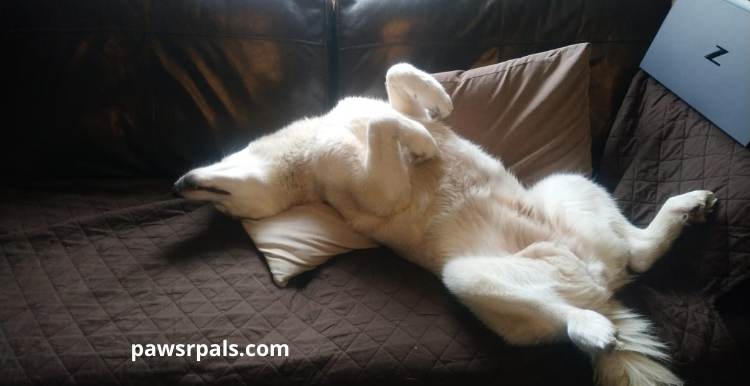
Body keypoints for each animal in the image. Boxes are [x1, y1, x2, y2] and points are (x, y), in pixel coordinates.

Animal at [175, 61, 716, 384]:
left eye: (222, 206)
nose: (179, 184)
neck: (305, 156)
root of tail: (601, 290)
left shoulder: (384, 107)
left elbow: (396, 79)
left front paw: (438, 103)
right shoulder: (377, 192)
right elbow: (387, 124)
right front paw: (422, 144)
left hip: (567, 184)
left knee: (637, 255)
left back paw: (687, 205)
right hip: (468, 276)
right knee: (566, 314)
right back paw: (592, 327)